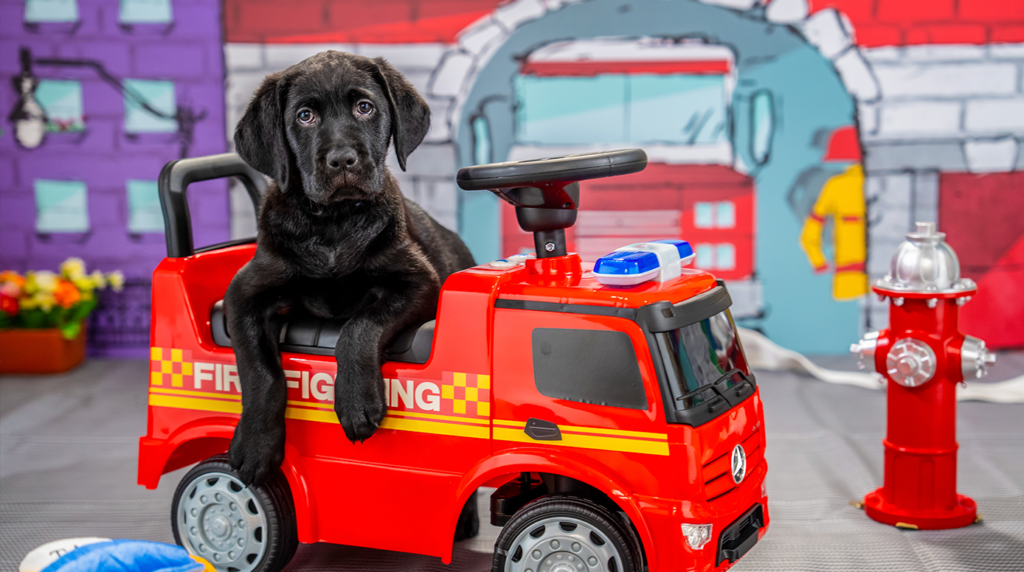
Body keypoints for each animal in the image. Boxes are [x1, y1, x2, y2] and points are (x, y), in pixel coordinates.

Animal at [226, 51, 473, 487]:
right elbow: (259, 368)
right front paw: (256, 443)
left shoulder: (418, 283)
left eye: (365, 107)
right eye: (305, 116)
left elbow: (362, 325)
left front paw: (356, 401)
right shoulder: (243, 295)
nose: (342, 159)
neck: (333, 224)